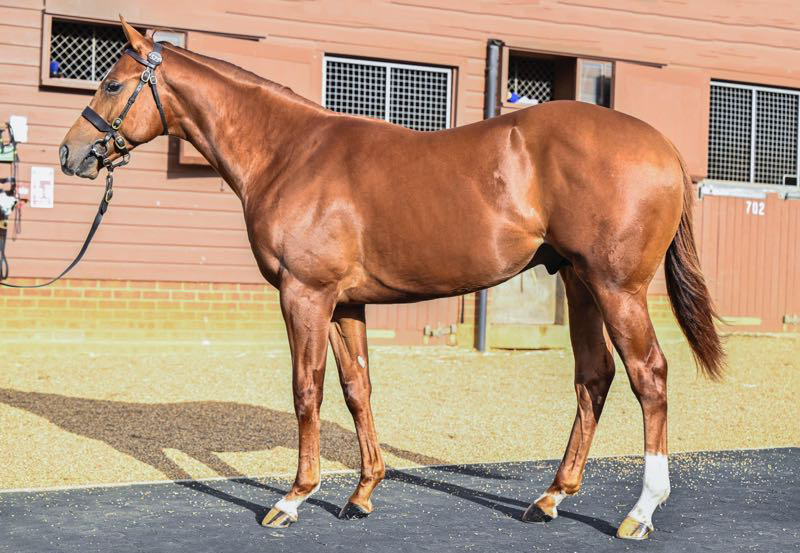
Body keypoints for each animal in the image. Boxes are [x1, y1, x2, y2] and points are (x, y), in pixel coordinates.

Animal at [59, 17, 723, 540]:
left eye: (112, 83)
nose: (72, 153)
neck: (289, 153)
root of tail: (663, 147)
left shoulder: (305, 296)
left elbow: (307, 391)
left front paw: (293, 498)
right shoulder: (345, 304)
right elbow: (358, 388)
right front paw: (361, 494)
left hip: (616, 288)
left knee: (648, 376)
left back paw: (641, 511)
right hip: (581, 283)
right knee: (594, 377)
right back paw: (551, 497)